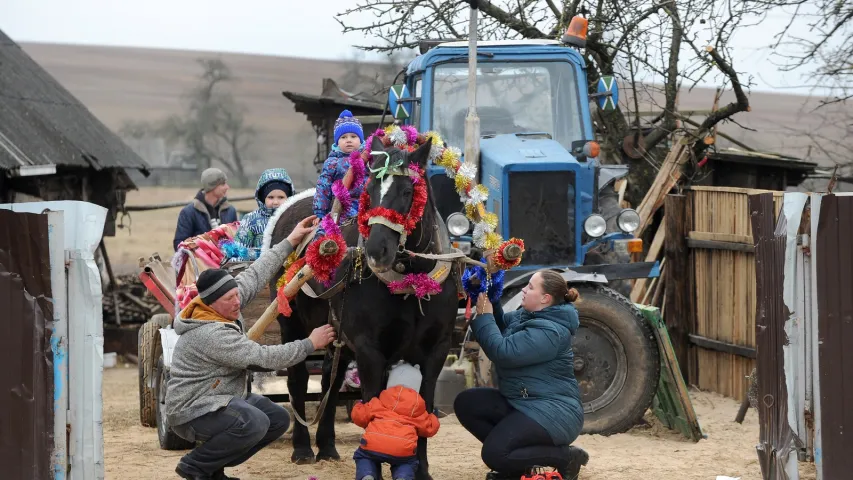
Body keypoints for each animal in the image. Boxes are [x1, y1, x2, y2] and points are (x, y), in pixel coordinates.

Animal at [266, 136, 460, 480]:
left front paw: (419, 469)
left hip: (337, 334)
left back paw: (327, 447)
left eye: (408, 191)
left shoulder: (435, 351)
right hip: (292, 323)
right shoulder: (371, 350)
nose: (376, 250)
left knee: (330, 378)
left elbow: (422, 408)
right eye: (370, 187)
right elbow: (372, 404)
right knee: (298, 380)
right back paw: (303, 448)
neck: (409, 283)